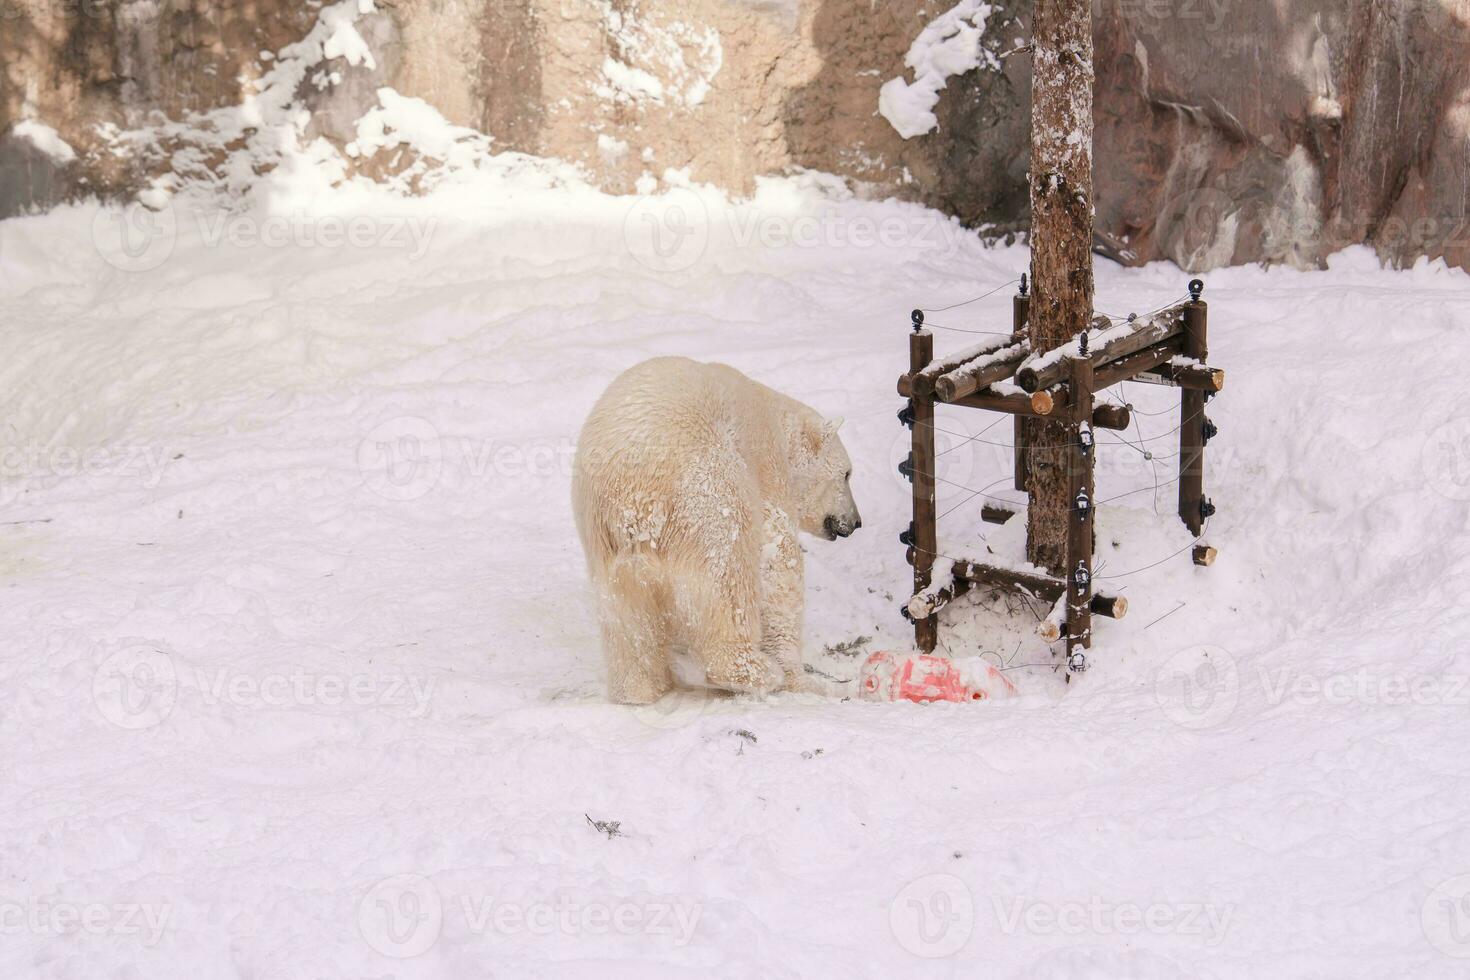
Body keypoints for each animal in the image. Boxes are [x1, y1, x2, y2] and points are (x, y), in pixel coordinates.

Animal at [570, 357, 858, 702]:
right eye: (847, 474)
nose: (855, 522)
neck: (777, 422)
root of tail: (636, 501)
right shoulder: (765, 467)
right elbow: (778, 563)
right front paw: (799, 678)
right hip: (708, 494)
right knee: (729, 578)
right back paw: (754, 671)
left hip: (603, 539)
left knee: (625, 618)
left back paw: (639, 689)